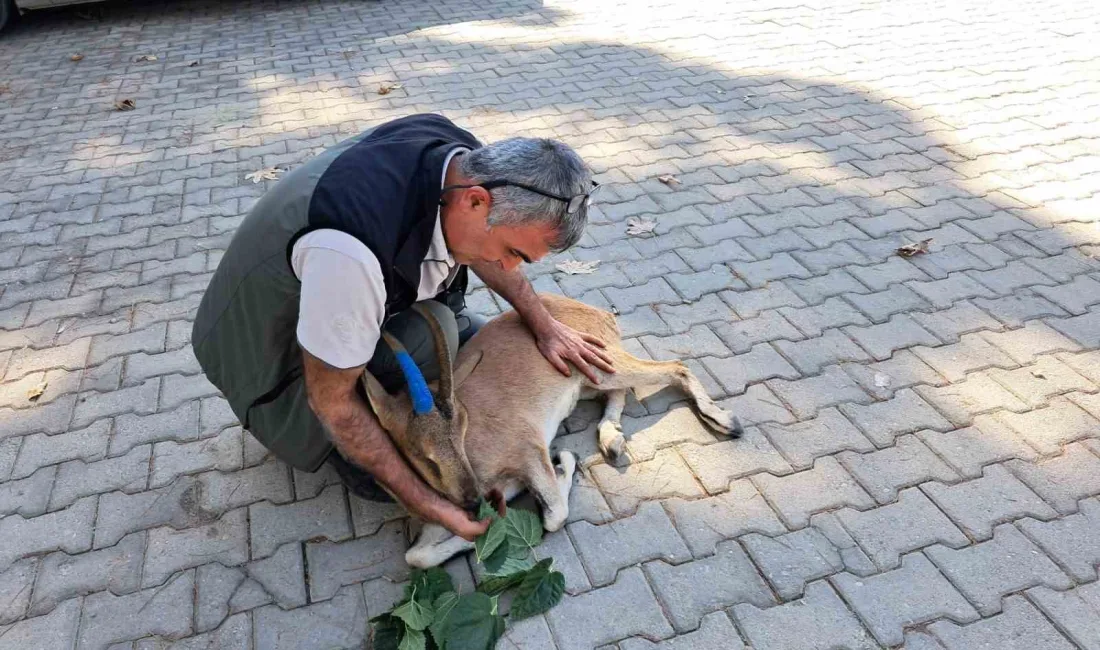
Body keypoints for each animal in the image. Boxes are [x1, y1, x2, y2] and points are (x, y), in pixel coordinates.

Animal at [365, 292, 743, 567]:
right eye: (419, 454)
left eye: (461, 427)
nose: (472, 500)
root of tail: (599, 313)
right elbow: (417, 556)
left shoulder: (527, 450)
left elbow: (555, 515)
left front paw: (564, 461)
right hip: (590, 380)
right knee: (620, 392)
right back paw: (612, 440)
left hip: (601, 364)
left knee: (675, 367)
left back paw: (724, 420)